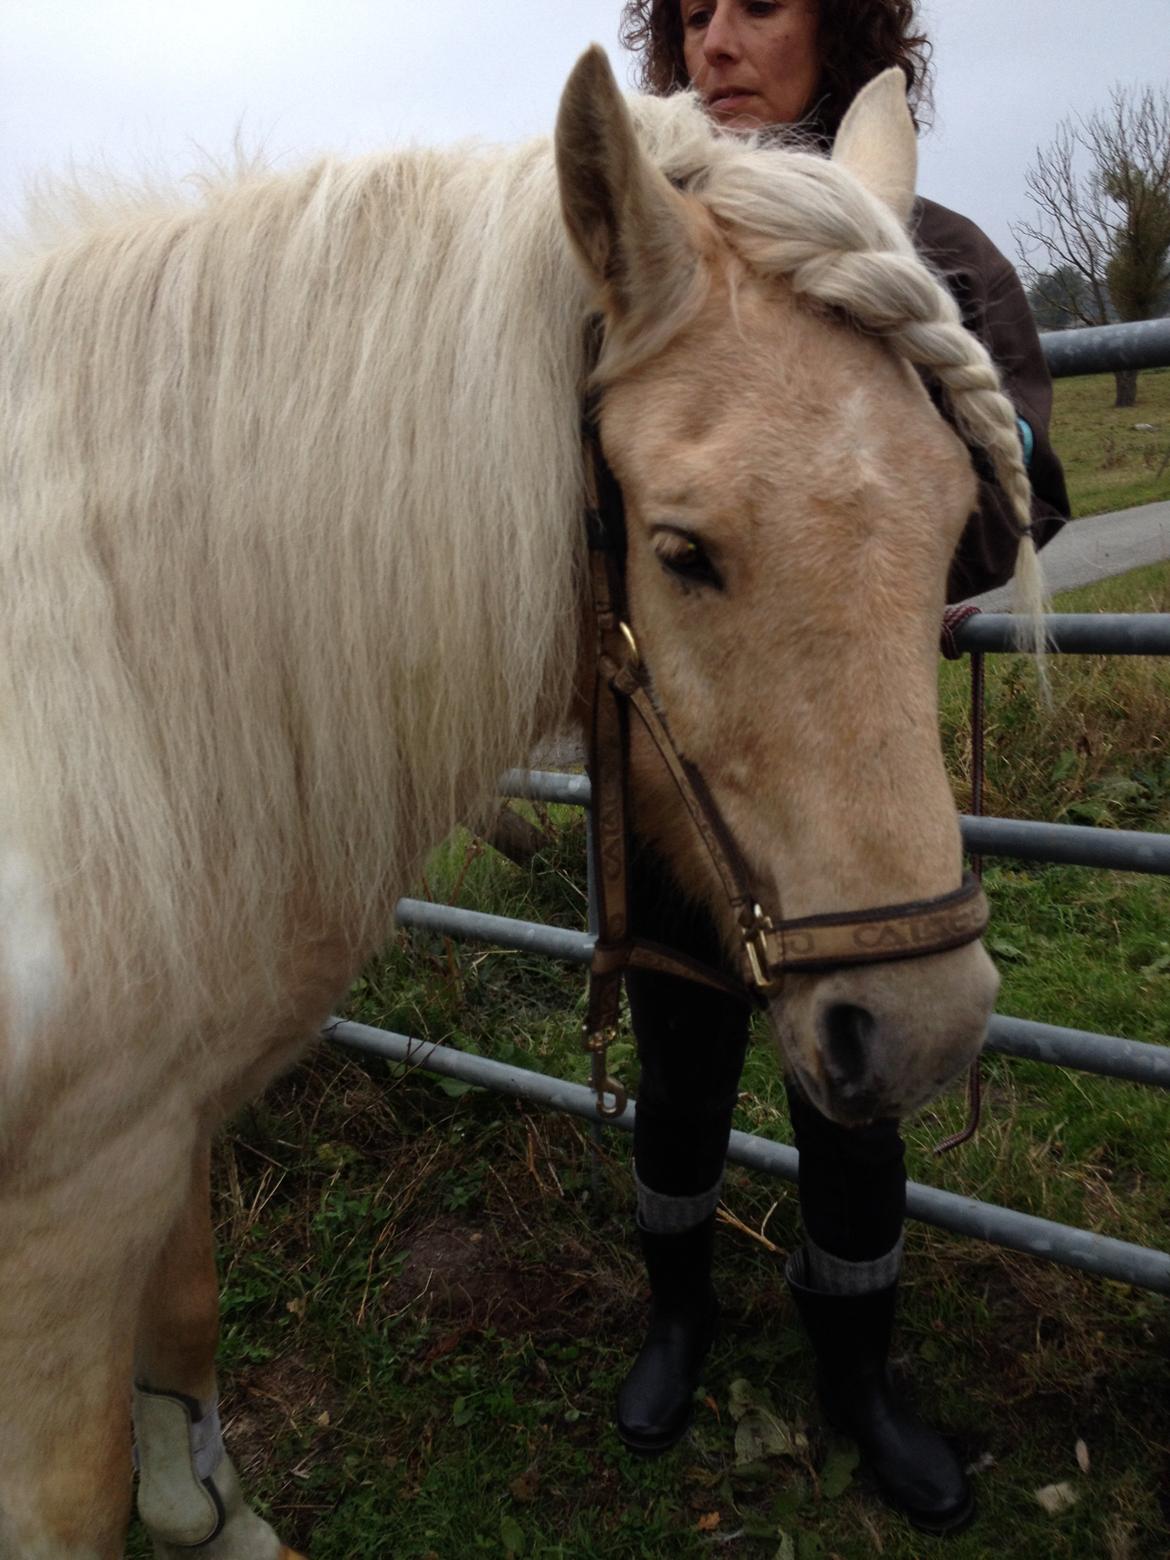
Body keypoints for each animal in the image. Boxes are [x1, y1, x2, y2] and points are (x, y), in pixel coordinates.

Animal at [0, 48, 1042, 1560]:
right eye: (680, 550)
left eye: (959, 521)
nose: (920, 1026)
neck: (106, 690)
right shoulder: (66, 1210)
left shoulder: (153, 1135)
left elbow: (182, 1327)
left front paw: (208, 1517)